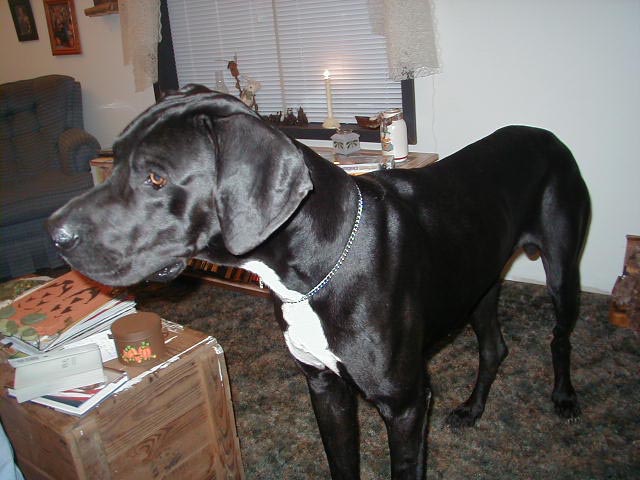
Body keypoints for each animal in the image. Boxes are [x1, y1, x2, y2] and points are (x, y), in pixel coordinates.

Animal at [47, 86, 590, 479]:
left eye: (156, 178)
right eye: (116, 157)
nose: (55, 235)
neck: (315, 270)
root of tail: (546, 135)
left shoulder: (406, 405)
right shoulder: (324, 389)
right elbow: (341, 463)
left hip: (563, 270)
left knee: (560, 337)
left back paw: (564, 398)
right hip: (477, 284)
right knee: (494, 346)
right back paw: (473, 409)